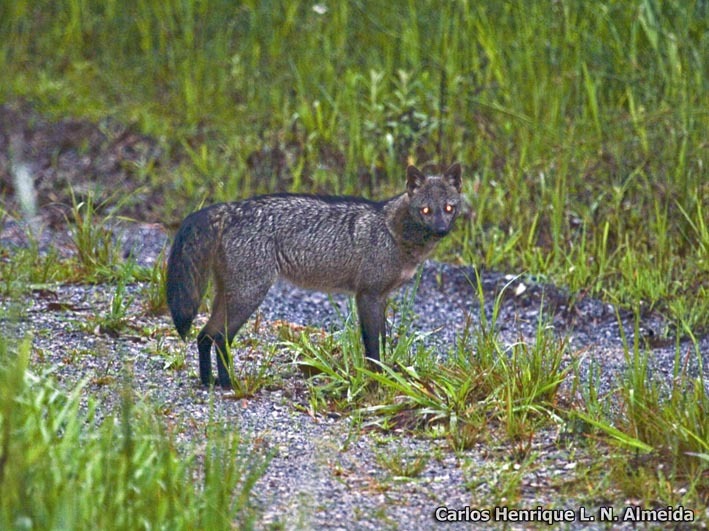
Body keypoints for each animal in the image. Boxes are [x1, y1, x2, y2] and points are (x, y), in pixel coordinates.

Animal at [168, 162, 462, 386]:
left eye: (449, 208)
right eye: (426, 210)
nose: (442, 230)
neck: (393, 232)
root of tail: (231, 208)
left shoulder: (381, 298)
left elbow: (381, 341)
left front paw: (386, 374)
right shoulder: (367, 296)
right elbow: (372, 347)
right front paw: (376, 378)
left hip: (230, 297)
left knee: (204, 336)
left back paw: (209, 382)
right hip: (247, 297)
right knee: (219, 338)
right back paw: (229, 384)